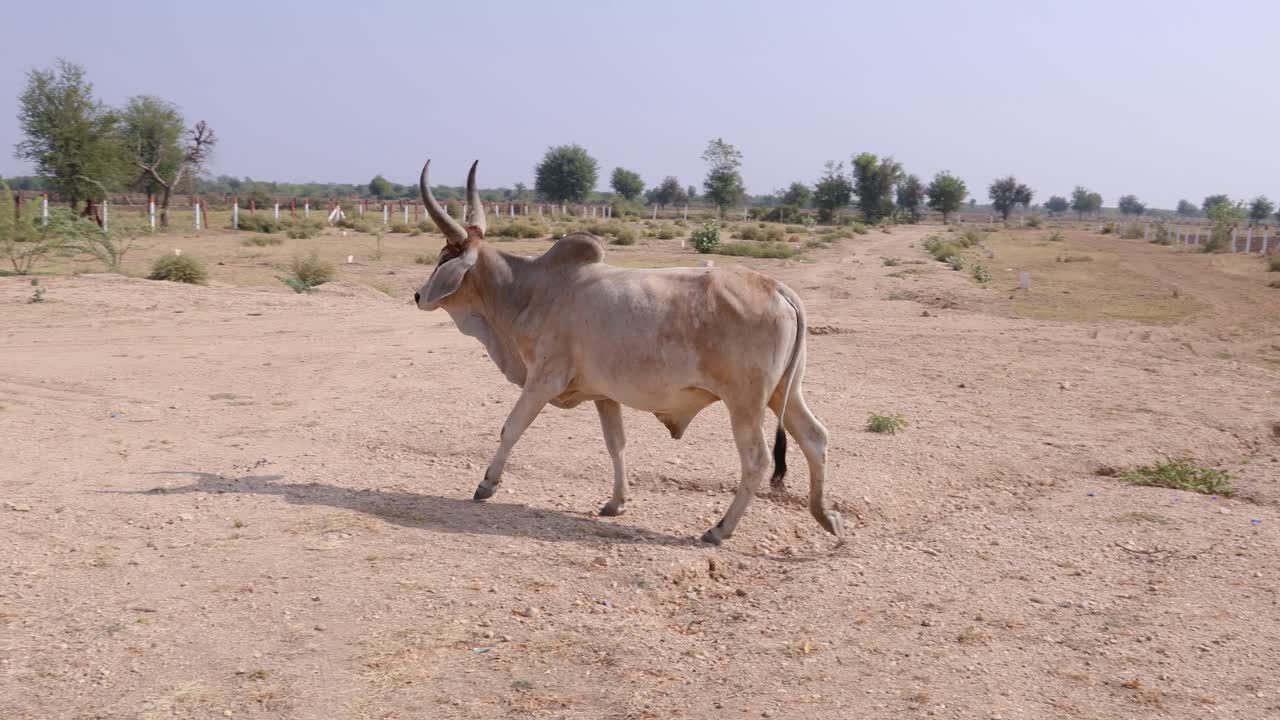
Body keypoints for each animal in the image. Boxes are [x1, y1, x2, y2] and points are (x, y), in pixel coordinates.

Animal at [413, 160, 842, 545]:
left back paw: (720, 529)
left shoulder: (543, 380)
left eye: (444, 257)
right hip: (784, 392)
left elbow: (511, 427)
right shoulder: (605, 395)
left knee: (756, 459)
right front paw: (616, 502)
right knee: (815, 438)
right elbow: (616, 444)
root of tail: (778, 288)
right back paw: (826, 517)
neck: (530, 291)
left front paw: (487, 484)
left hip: (745, 401)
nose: (418, 295)